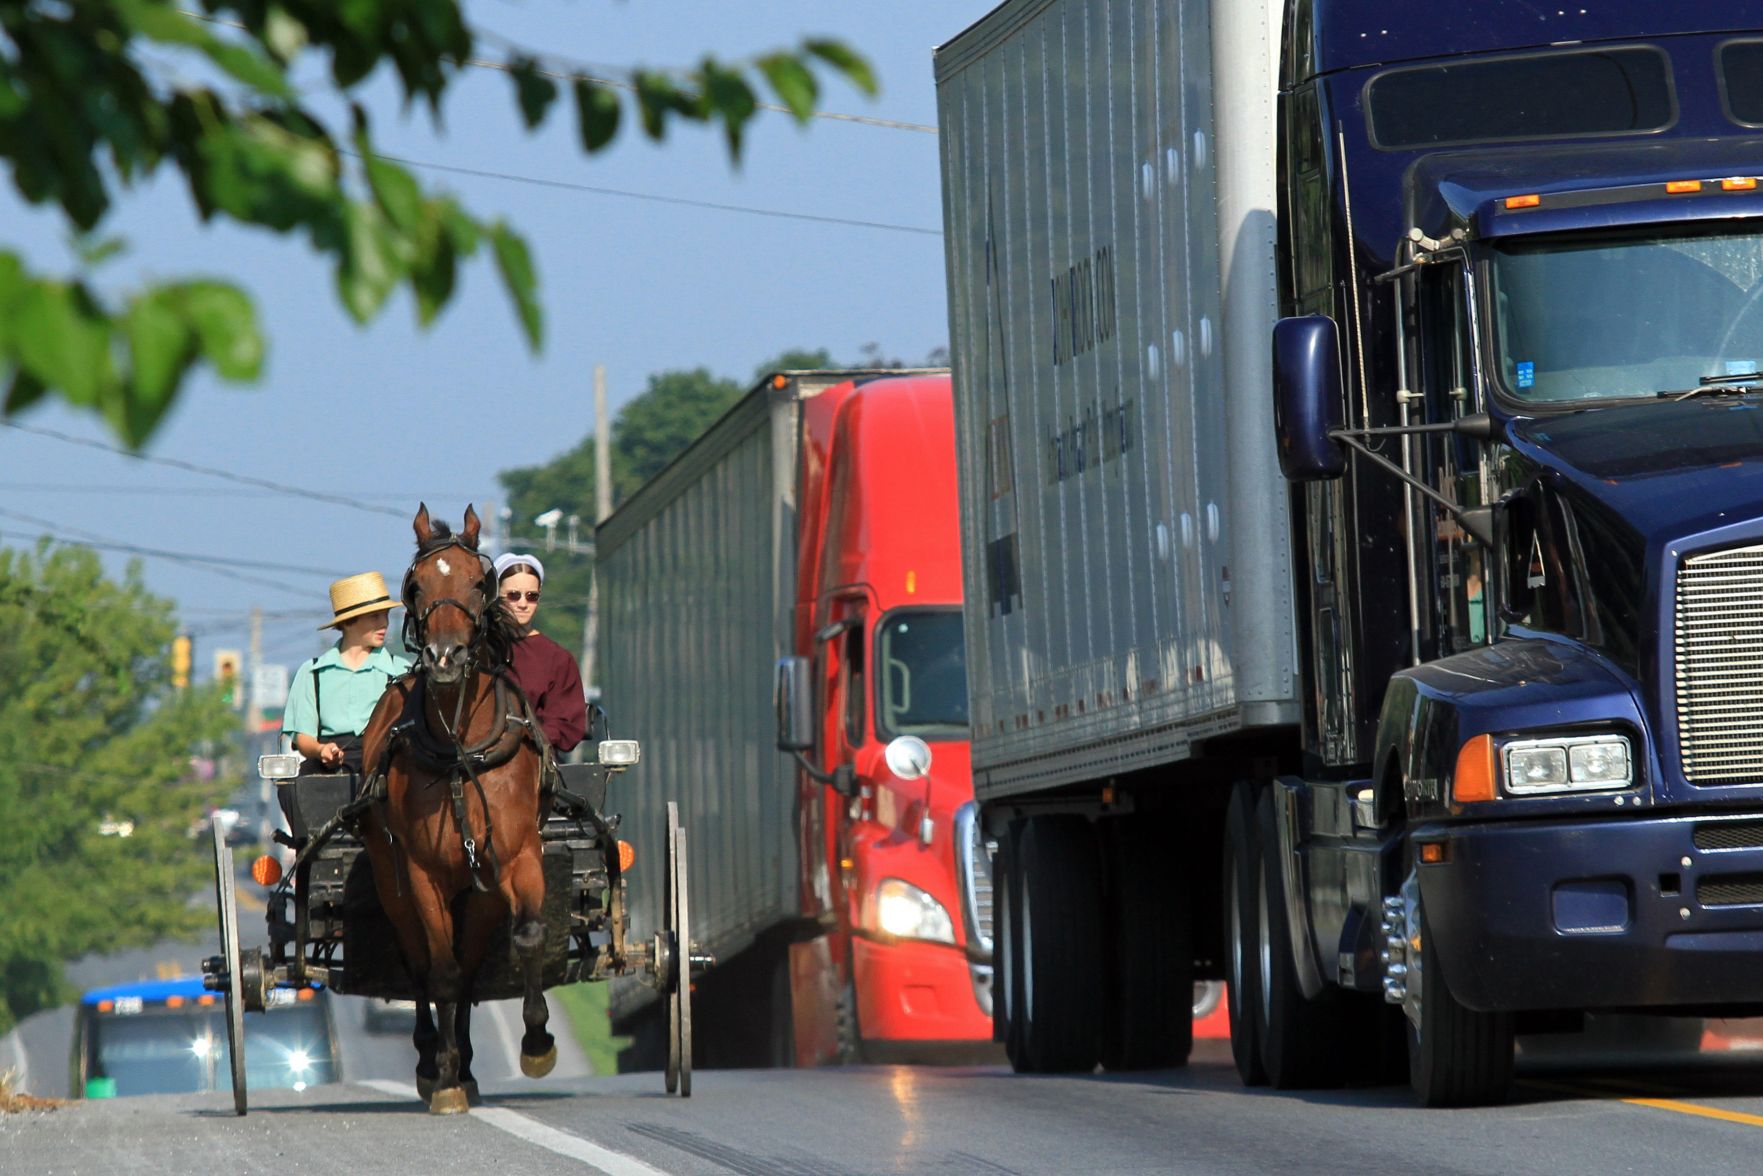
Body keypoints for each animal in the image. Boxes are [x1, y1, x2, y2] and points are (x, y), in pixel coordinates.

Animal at [357, 504, 550, 1114]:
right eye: (416, 586)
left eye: (477, 582)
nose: (443, 658)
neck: (461, 747)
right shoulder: (422, 873)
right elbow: (439, 971)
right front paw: (442, 1079)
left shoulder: (516, 857)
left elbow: (526, 935)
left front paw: (536, 1041)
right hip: (393, 881)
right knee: (420, 961)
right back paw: (434, 1060)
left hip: (481, 891)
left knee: (469, 966)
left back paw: (465, 1061)